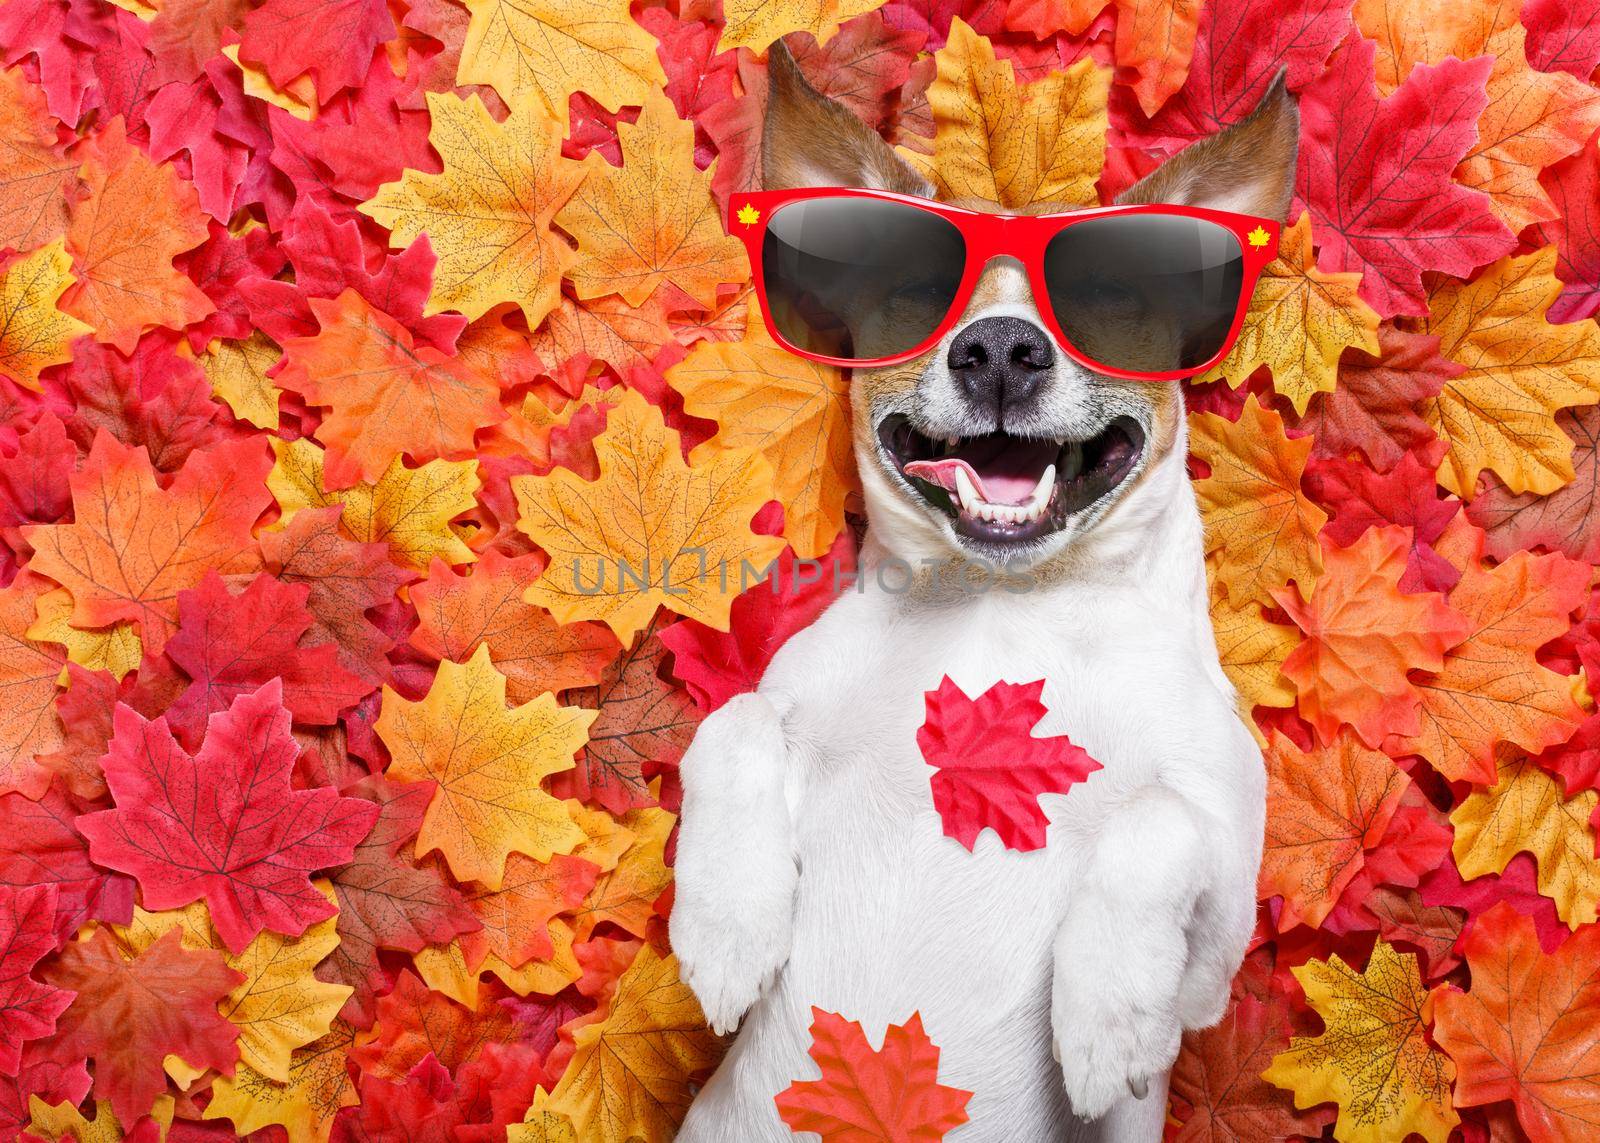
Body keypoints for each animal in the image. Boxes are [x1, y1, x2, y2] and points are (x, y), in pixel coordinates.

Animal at [668, 44, 1292, 1139]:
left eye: (1102, 294)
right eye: (925, 290)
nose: (1000, 348)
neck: (1012, 607)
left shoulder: (1214, 954)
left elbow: (1158, 821)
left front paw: (1107, 1016)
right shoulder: (777, 702)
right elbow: (732, 717)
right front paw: (726, 922)